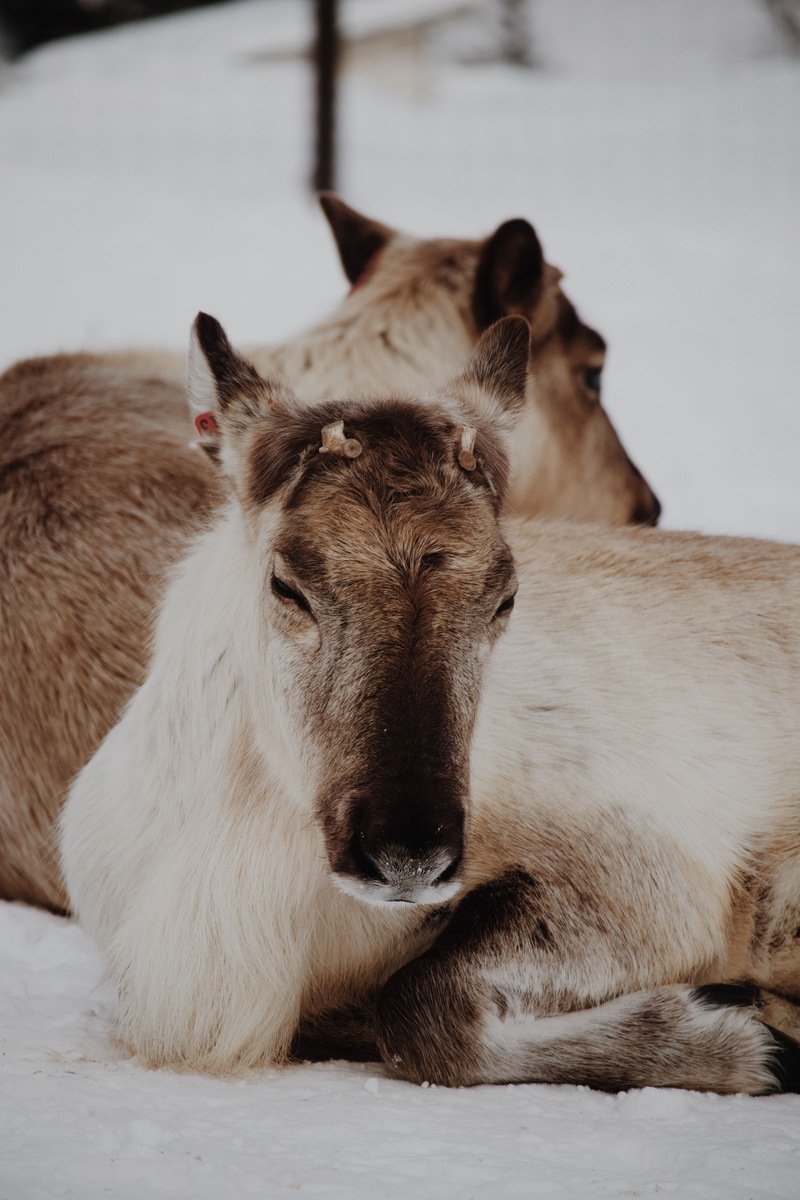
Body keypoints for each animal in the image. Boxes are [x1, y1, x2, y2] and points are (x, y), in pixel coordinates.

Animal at [59, 313, 800, 1095]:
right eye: (287, 584)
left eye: (505, 595)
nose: (408, 852)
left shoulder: (657, 882)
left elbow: (417, 1008)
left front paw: (756, 1039)